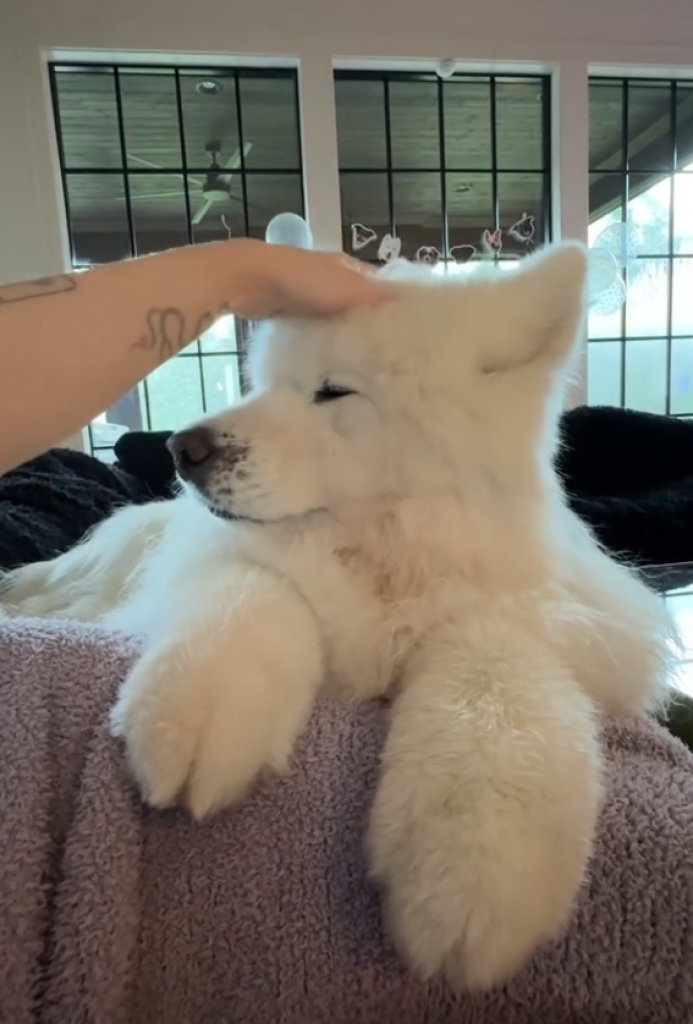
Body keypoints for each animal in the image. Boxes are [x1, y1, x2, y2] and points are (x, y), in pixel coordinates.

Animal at [0, 242, 678, 990]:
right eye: (262, 382)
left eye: (333, 392)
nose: (183, 450)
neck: (378, 553)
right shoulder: (231, 561)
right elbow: (258, 592)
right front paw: (197, 711)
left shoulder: (546, 613)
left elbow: (495, 671)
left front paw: (472, 867)